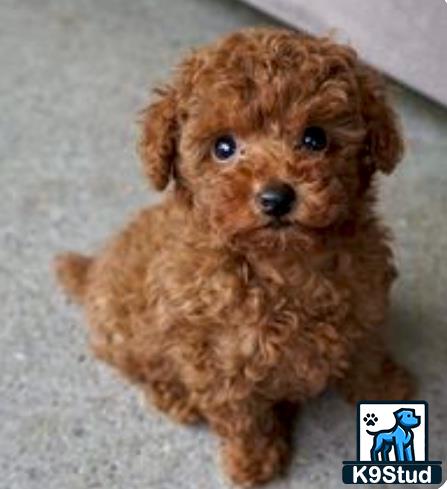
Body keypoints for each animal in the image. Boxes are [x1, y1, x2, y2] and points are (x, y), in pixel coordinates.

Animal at [56, 28, 416, 486]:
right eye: (223, 147)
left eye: (315, 138)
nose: (276, 198)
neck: (284, 266)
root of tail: (93, 270)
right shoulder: (221, 365)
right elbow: (245, 419)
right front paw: (254, 462)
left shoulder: (365, 308)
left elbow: (367, 358)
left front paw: (387, 393)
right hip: (127, 339)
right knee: (142, 369)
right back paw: (177, 399)